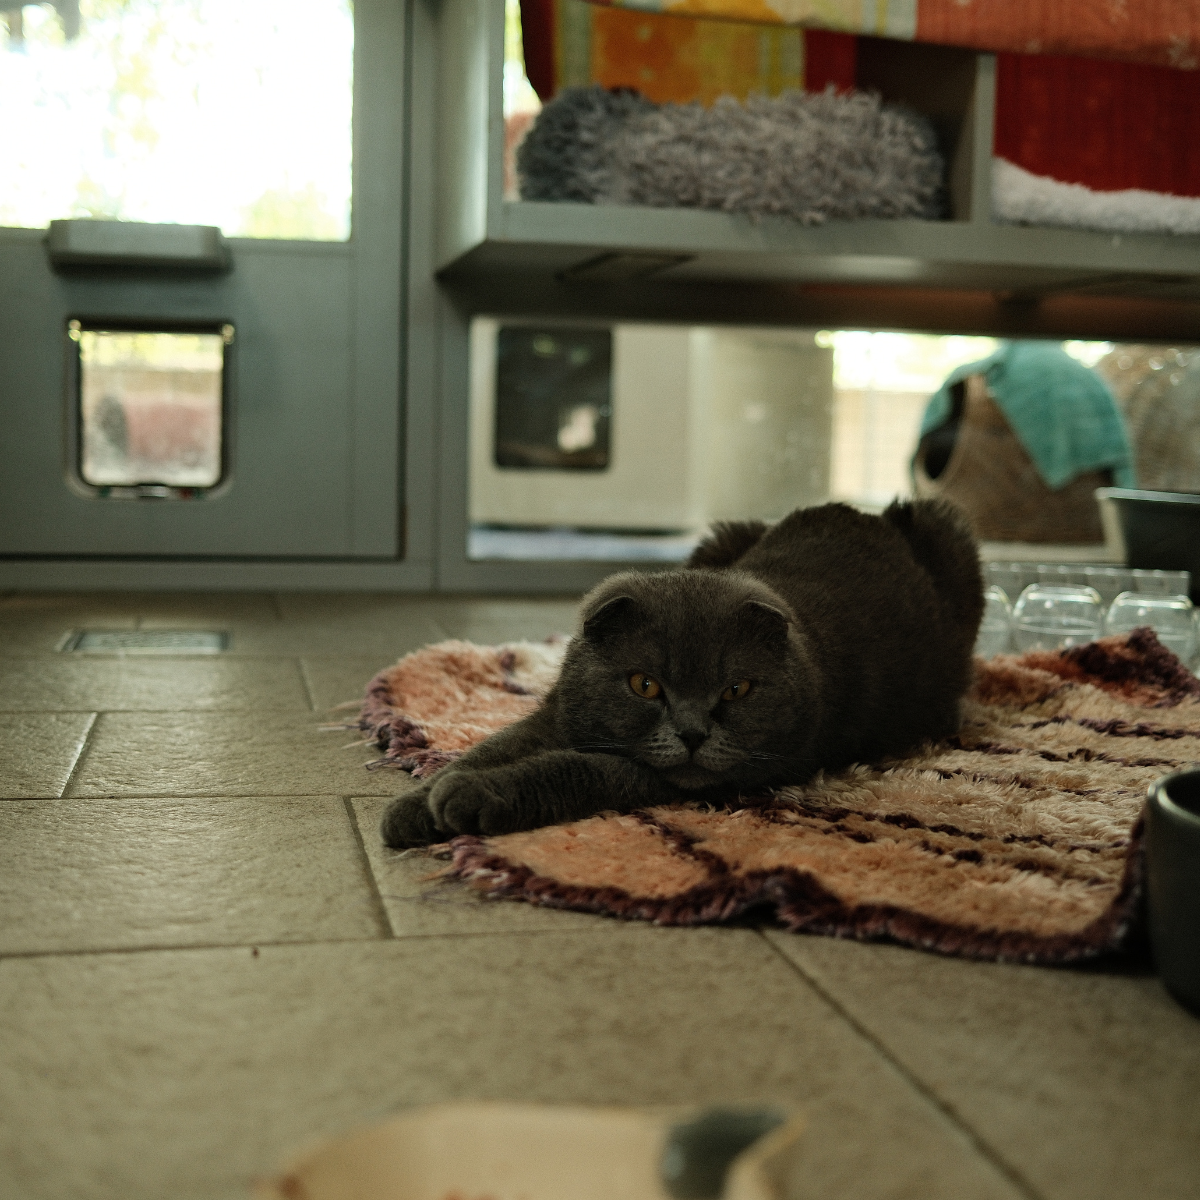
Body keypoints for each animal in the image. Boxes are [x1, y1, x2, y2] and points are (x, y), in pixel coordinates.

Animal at [381, 499, 983, 848]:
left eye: (736, 689)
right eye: (645, 685)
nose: (693, 733)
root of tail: (879, 513)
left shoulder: (708, 775)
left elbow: (574, 768)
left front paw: (467, 795)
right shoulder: (555, 716)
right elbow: (491, 746)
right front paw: (413, 808)